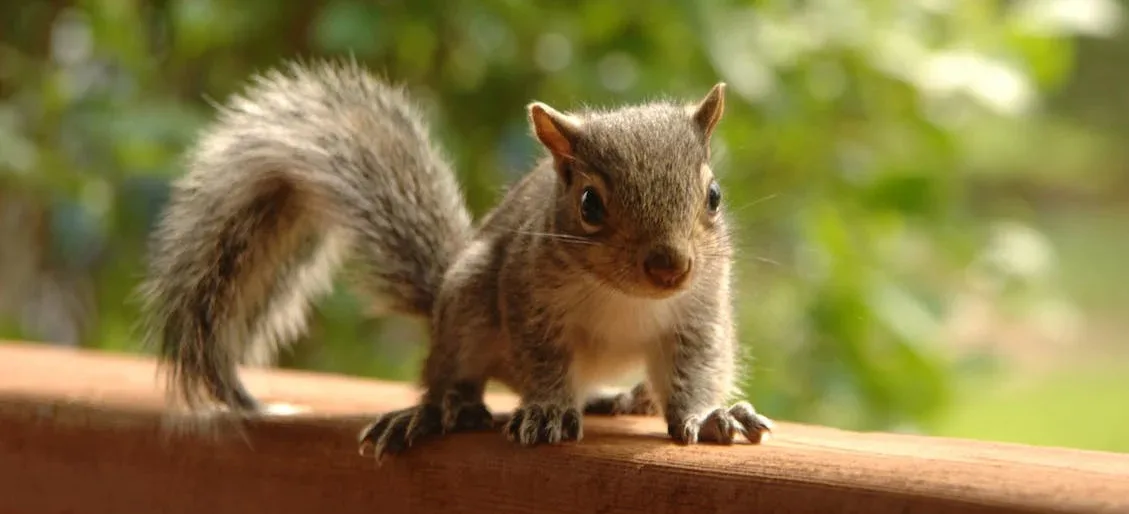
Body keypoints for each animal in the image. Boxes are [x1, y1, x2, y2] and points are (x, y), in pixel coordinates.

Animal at [137, 58, 773, 459]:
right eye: (590, 204)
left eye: (713, 196)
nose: (670, 267)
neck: (624, 297)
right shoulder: (526, 295)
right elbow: (543, 360)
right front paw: (548, 409)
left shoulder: (699, 312)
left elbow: (696, 368)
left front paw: (708, 416)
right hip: (467, 300)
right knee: (450, 375)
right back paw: (442, 411)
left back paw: (624, 398)